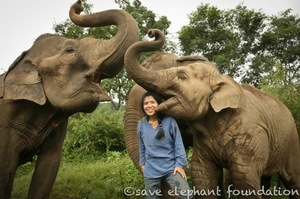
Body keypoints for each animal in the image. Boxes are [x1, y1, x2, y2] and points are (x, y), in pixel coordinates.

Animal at [123, 28, 300, 198]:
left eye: (181, 76)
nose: (151, 32)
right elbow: (202, 173)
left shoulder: (250, 134)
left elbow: (243, 177)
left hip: (291, 141)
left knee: (292, 179)